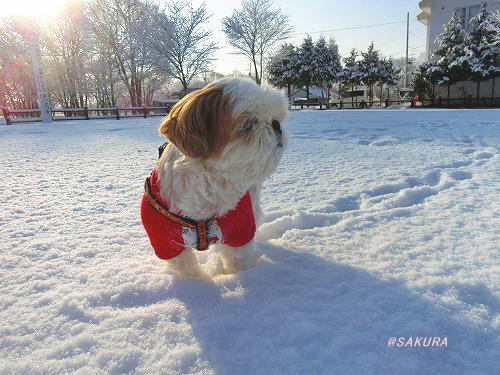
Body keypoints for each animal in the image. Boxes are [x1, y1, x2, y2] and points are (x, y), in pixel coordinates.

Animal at [141, 78, 290, 278]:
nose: (275, 124)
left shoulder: (240, 229)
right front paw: (198, 282)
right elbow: (185, 266)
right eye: (248, 123)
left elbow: (238, 259)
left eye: (276, 117)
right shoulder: (166, 241)